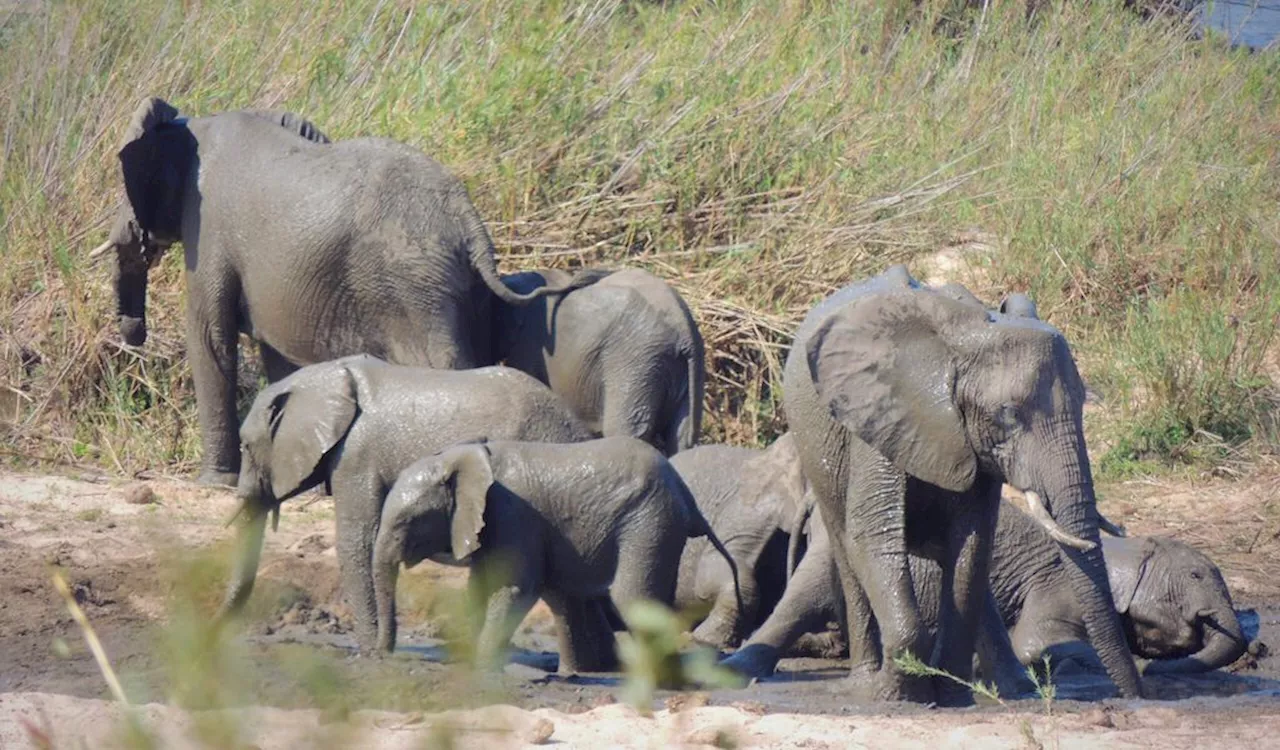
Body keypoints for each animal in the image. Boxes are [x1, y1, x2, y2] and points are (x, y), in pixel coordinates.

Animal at [90, 96, 599, 483]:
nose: (133, 333)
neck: (195, 121)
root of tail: (471, 224)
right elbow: (278, 356)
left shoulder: (209, 226)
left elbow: (210, 338)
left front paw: (214, 483)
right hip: (459, 290)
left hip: (417, 287)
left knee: (445, 364)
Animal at [225, 350, 593, 647]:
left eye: (245, 446)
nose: (216, 628)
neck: (325, 378)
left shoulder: (356, 456)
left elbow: (356, 541)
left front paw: (370, 652)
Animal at [371, 435, 742, 670]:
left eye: (406, 521)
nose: (384, 655)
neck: (461, 457)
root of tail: (687, 496)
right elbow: (479, 587)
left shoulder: (512, 515)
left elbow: (515, 588)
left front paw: (481, 666)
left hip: (650, 521)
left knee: (632, 599)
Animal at [773, 266, 1146, 701]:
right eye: (1009, 414)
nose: (1134, 695)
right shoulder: (878, 413)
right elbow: (872, 533)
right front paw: (899, 696)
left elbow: (971, 542)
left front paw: (950, 694)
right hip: (817, 451)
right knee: (845, 546)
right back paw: (865, 682)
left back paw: (1013, 688)